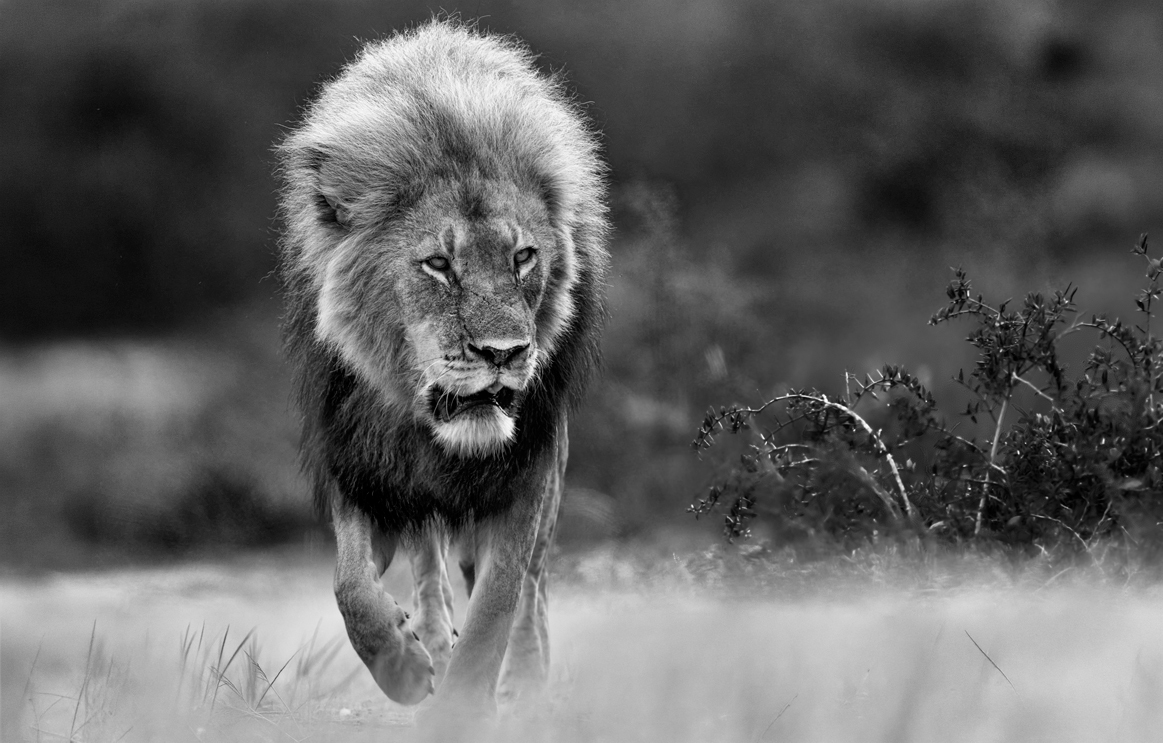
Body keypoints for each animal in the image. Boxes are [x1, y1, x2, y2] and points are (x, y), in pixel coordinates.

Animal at [275, 21, 608, 717]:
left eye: (523, 257)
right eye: (437, 265)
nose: (504, 352)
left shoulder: (527, 470)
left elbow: (499, 603)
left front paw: (466, 701)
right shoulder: (363, 466)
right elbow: (350, 586)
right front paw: (402, 667)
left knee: (532, 579)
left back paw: (524, 679)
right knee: (428, 559)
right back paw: (428, 639)